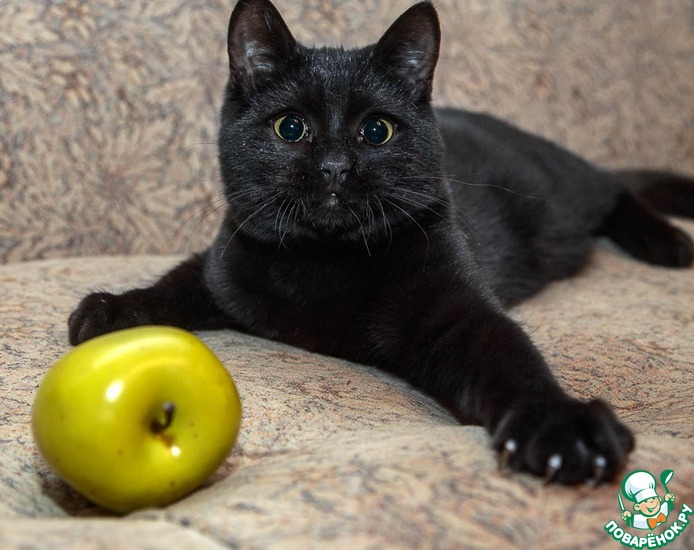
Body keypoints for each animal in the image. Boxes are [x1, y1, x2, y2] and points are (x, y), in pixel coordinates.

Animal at [69, 0, 694, 486]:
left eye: (377, 130)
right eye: (290, 127)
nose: (334, 167)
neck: (323, 261)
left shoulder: (452, 303)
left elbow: (505, 351)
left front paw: (563, 427)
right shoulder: (231, 261)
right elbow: (180, 280)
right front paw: (113, 310)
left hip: (563, 193)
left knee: (615, 187)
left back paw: (667, 242)